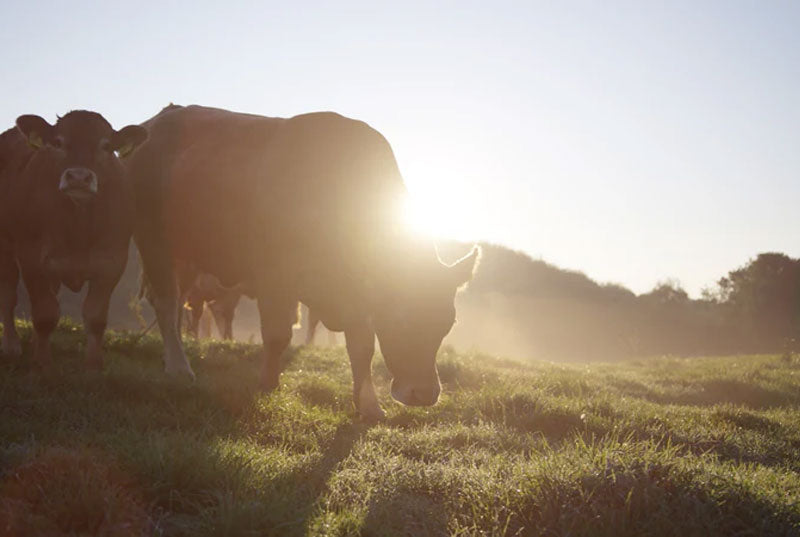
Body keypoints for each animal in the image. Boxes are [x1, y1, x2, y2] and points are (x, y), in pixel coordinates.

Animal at [0, 110, 147, 366]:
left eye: (106, 146)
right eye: (58, 142)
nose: (79, 177)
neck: (79, 224)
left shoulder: (112, 262)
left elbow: (95, 317)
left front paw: (93, 364)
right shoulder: (31, 258)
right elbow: (45, 314)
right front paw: (42, 363)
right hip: (5, 247)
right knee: (8, 297)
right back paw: (11, 345)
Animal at [128, 104, 478, 418]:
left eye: (448, 323)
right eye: (401, 318)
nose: (424, 394)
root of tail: (159, 121)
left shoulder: (357, 298)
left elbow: (362, 348)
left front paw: (368, 405)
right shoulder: (274, 277)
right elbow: (278, 334)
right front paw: (268, 383)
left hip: (185, 256)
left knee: (176, 305)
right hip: (154, 239)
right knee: (166, 302)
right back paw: (179, 367)